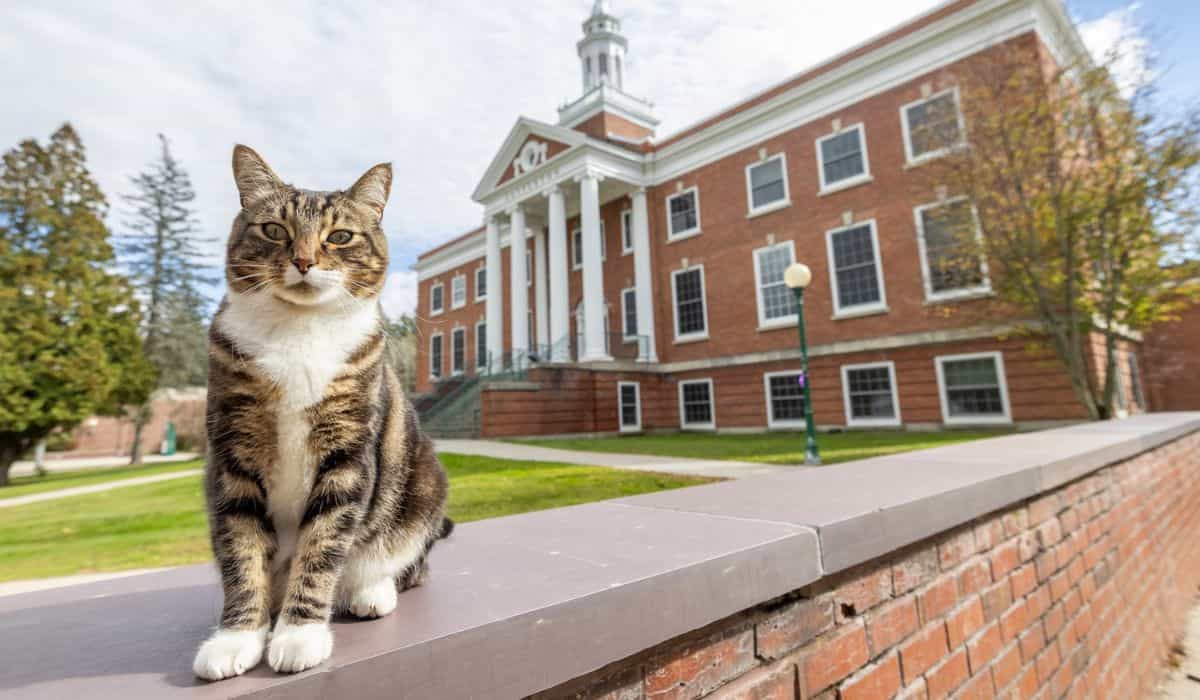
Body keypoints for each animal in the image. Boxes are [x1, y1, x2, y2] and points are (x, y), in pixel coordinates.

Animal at [194, 146, 451, 677]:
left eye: (341, 236)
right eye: (274, 229)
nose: (304, 260)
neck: (299, 330)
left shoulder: (347, 453)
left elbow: (323, 545)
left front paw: (299, 634)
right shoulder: (233, 454)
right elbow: (241, 550)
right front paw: (236, 638)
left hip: (424, 486)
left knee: (407, 563)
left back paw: (371, 590)